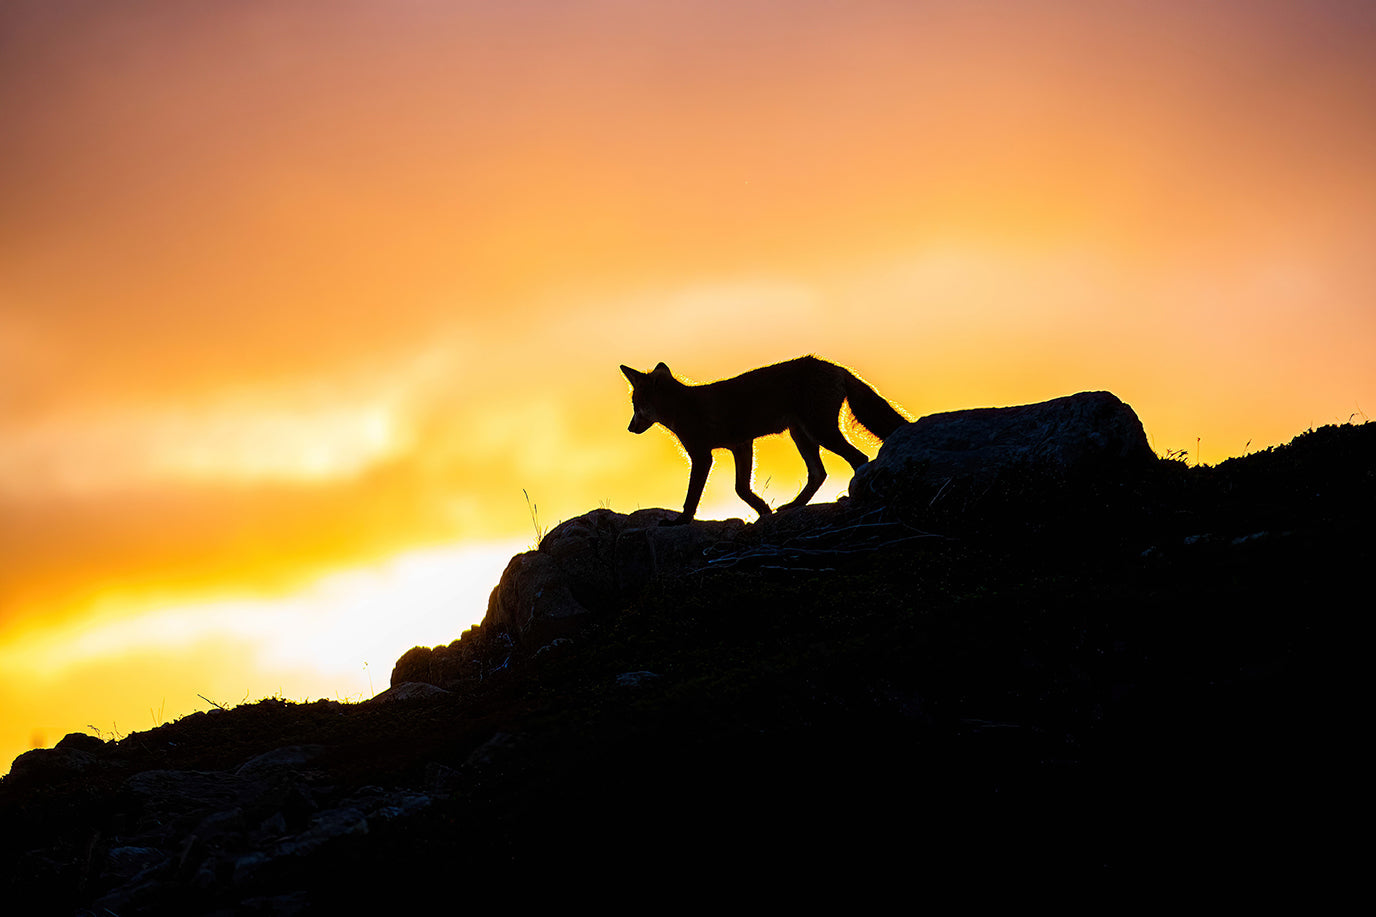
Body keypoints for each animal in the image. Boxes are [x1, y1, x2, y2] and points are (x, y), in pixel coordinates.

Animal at [619, 356, 907, 524]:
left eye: (635, 404)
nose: (630, 428)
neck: (683, 407)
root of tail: (834, 366)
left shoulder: (702, 455)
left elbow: (693, 496)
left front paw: (681, 521)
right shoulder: (742, 445)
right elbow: (741, 489)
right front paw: (763, 511)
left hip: (820, 432)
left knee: (858, 458)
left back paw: (852, 497)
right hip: (801, 435)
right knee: (819, 473)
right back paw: (794, 506)